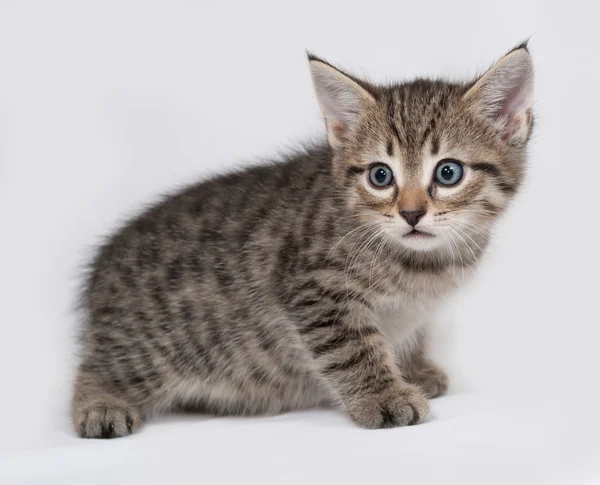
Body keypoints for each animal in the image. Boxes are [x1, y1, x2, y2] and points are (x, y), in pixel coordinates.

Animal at [71, 43, 536, 436]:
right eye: (380, 176)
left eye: (448, 172)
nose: (410, 213)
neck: (423, 264)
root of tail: (102, 268)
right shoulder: (313, 289)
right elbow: (352, 347)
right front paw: (384, 396)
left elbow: (411, 333)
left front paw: (414, 368)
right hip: (152, 344)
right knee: (95, 369)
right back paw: (100, 405)